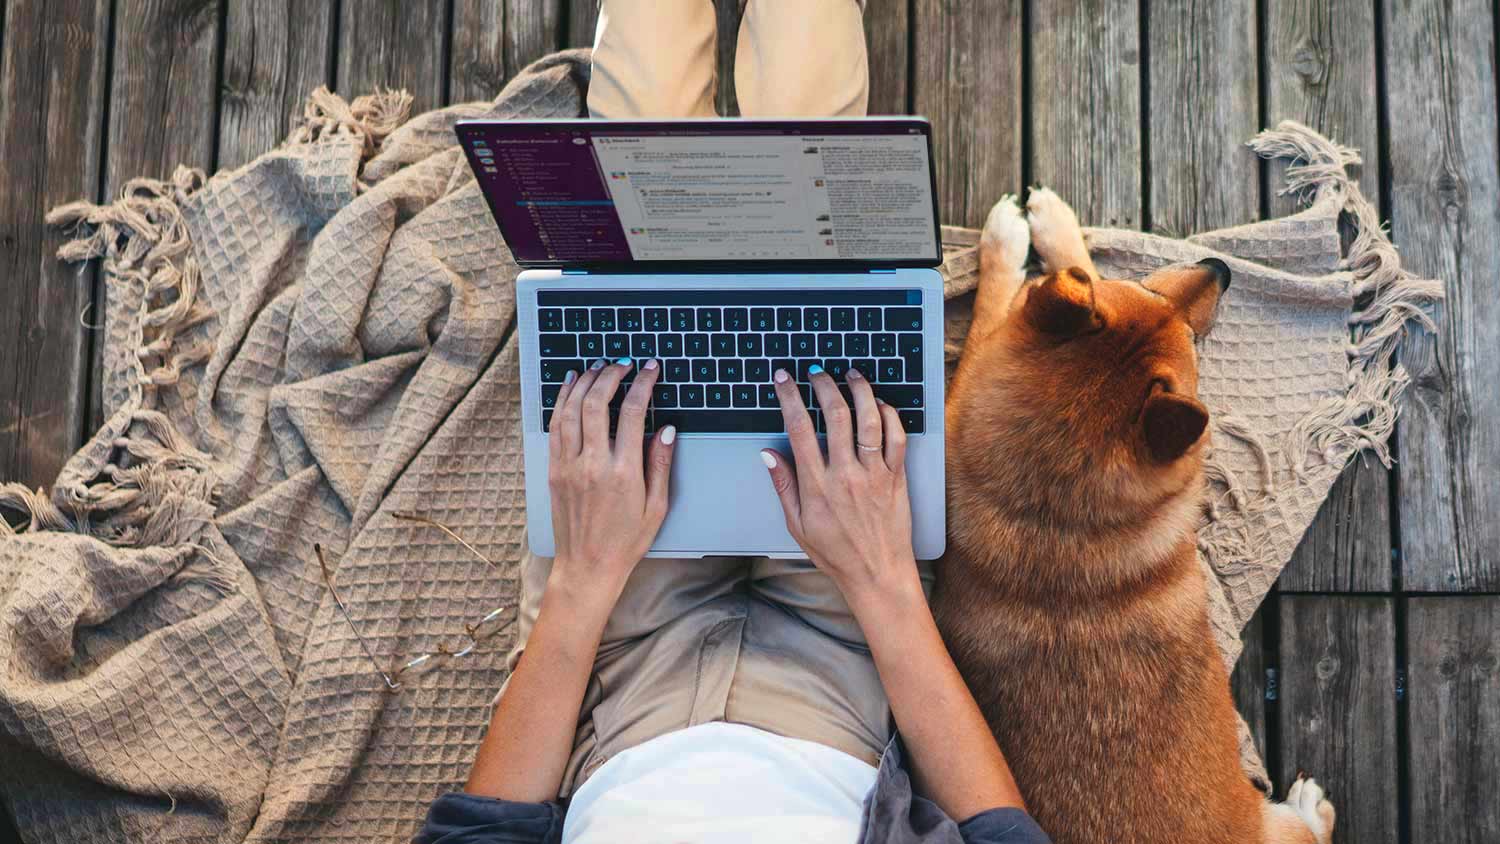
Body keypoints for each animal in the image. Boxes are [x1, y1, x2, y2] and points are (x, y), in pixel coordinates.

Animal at [936, 191, 1338, 844]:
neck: (1050, 514)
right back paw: (1311, 803)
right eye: (1147, 291)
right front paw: (1030, 236)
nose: (1221, 269)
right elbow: (1025, 287)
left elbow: (1043, 283)